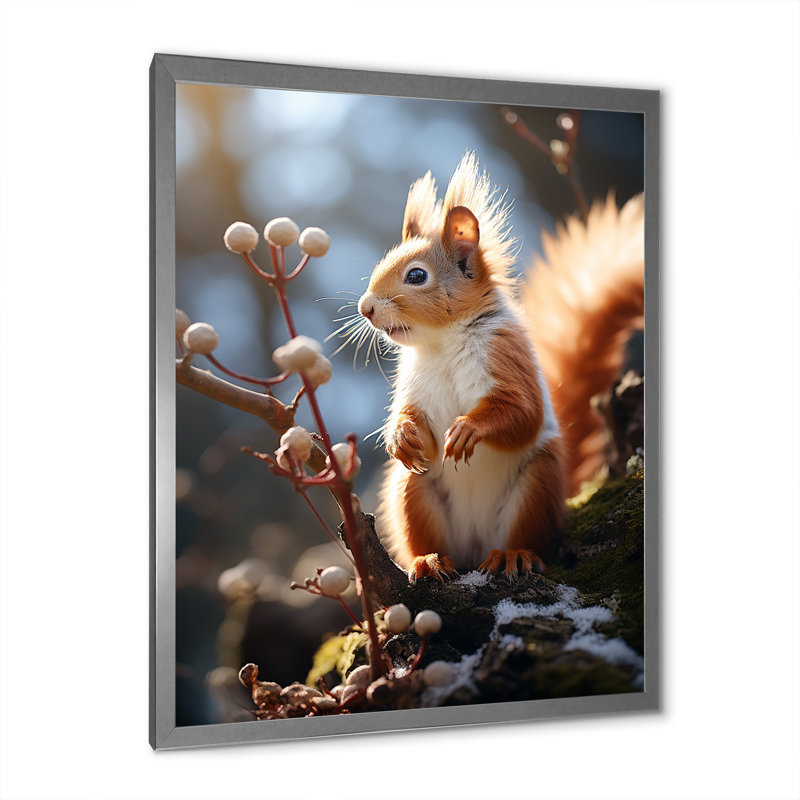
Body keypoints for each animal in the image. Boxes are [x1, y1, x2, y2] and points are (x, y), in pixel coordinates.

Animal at [357, 153, 644, 582]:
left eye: (417, 275)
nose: (366, 308)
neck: (441, 343)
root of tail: (476, 549)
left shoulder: (506, 356)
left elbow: (521, 412)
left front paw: (468, 428)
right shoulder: (413, 384)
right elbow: (409, 415)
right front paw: (400, 435)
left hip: (535, 487)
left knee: (525, 537)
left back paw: (511, 556)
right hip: (412, 489)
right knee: (427, 536)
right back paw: (429, 561)